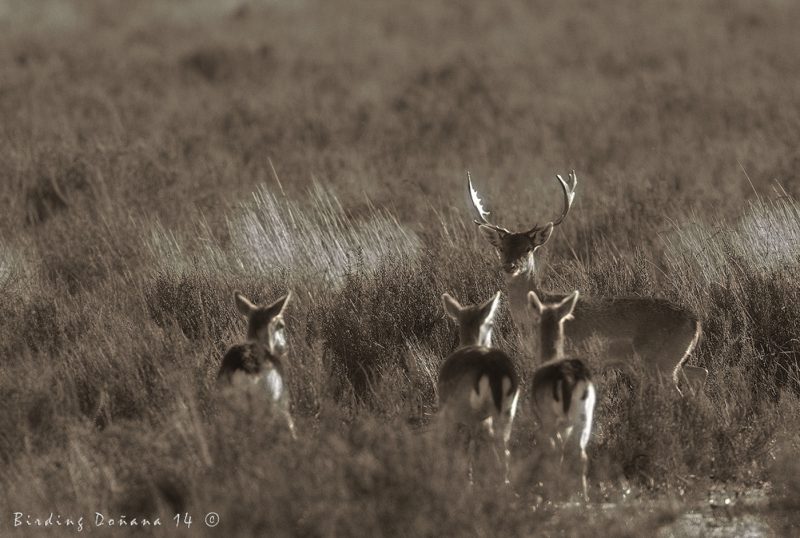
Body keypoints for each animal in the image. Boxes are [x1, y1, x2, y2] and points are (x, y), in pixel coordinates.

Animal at [468, 172, 708, 394]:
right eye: (501, 248)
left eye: (528, 248)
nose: (510, 266)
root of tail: (696, 322)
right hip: (673, 362)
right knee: (701, 372)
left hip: (661, 363)